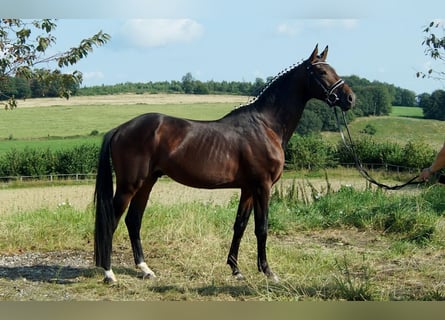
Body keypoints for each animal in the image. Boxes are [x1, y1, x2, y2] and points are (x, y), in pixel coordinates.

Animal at [93, 45, 354, 282]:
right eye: (321, 72)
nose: (349, 98)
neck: (266, 125)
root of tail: (119, 129)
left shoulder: (248, 189)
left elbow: (240, 226)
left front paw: (236, 270)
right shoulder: (263, 186)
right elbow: (262, 228)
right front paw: (268, 271)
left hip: (147, 182)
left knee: (133, 221)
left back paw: (145, 269)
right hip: (129, 185)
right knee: (111, 221)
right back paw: (109, 273)